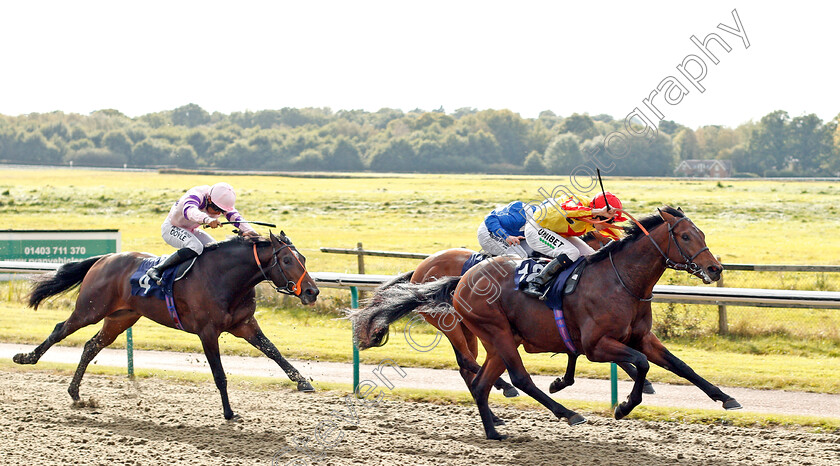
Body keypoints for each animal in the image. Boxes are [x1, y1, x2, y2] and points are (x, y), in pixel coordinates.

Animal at [13, 231, 322, 420]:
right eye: (286, 259)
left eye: (303, 258)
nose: (312, 291)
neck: (226, 278)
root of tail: (104, 259)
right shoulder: (207, 332)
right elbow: (220, 375)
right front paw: (229, 413)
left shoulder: (245, 324)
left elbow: (274, 352)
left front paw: (303, 381)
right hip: (90, 309)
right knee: (60, 330)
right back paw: (25, 358)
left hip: (121, 317)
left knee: (91, 346)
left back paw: (75, 393)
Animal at [352, 208, 740, 440]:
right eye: (686, 236)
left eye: (702, 234)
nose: (715, 268)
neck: (622, 281)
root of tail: (459, 280)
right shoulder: (597, 346)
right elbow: (640, 365)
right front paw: (623, 406)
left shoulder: (641, 337)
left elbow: (680, 365)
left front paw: (725, 398)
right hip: (484, 330)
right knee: (510, 375)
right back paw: (565, 413)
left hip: (496, 338)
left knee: (479, 381)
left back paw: (494, 429)